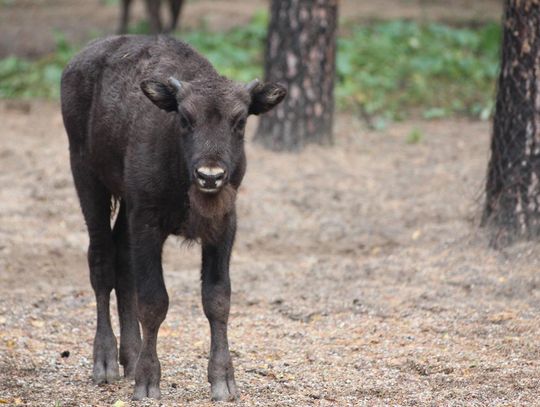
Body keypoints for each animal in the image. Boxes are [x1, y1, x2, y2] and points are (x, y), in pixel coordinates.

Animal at [60, 35, 286, 402]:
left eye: (239, 121)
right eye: (185, 118)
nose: (210, 175)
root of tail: (77, 62)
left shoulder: (223, 227)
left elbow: (217, 299)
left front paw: (224, 382)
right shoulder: (148, 224)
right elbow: (154, 301)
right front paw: (148, 383)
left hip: (124, 205)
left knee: (122, 264)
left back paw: (130, 356)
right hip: (87, 180)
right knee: (101, 262)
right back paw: (105, 363)